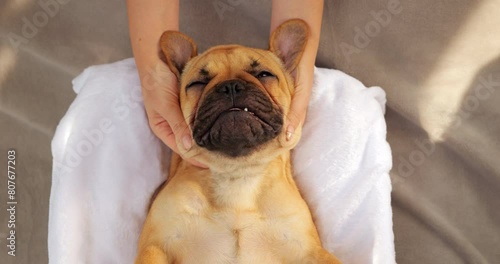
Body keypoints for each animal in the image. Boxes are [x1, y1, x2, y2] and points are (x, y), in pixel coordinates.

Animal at [135, 19, 342, 264]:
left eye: (264, 74)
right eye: (197, 83)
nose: (230, 85)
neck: (237, 174)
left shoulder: (309, 250)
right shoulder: (156, 245)